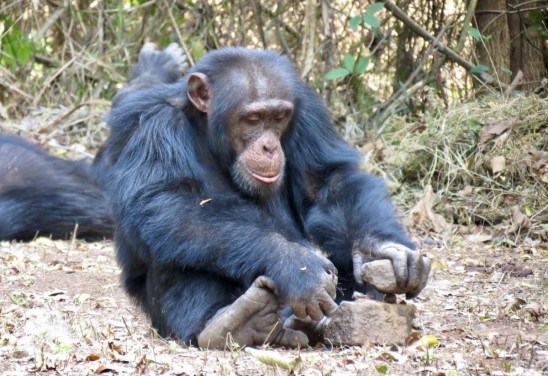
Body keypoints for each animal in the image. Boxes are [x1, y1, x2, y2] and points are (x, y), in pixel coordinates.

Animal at [100, 43, 430, 346]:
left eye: (279, 117)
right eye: (253, 119)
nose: (269, 146)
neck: (208, 134)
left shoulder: (306, 113)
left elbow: (327, 182)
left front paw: (381, 249)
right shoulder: (154, 126)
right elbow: (164, 201)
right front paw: (293, 265)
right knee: (176, 237)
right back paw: (234, 321)